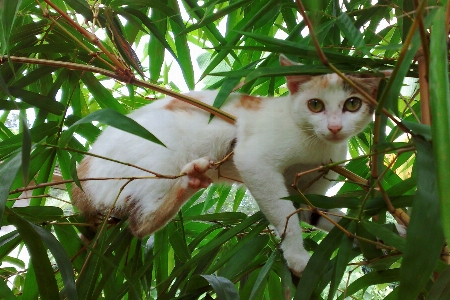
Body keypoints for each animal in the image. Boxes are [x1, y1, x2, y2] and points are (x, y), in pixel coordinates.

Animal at [72, 54, 384, 276]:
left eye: (352, 104)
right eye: (315, 105)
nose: (334, 127)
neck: (318, 147)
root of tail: (82, 171)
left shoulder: (305, 191)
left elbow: (324, 214)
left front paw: (378, 237)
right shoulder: (254, 162)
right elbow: (285, 218)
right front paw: (297, 257)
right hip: (160, 157)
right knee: (139, 224)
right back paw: (190, 181)